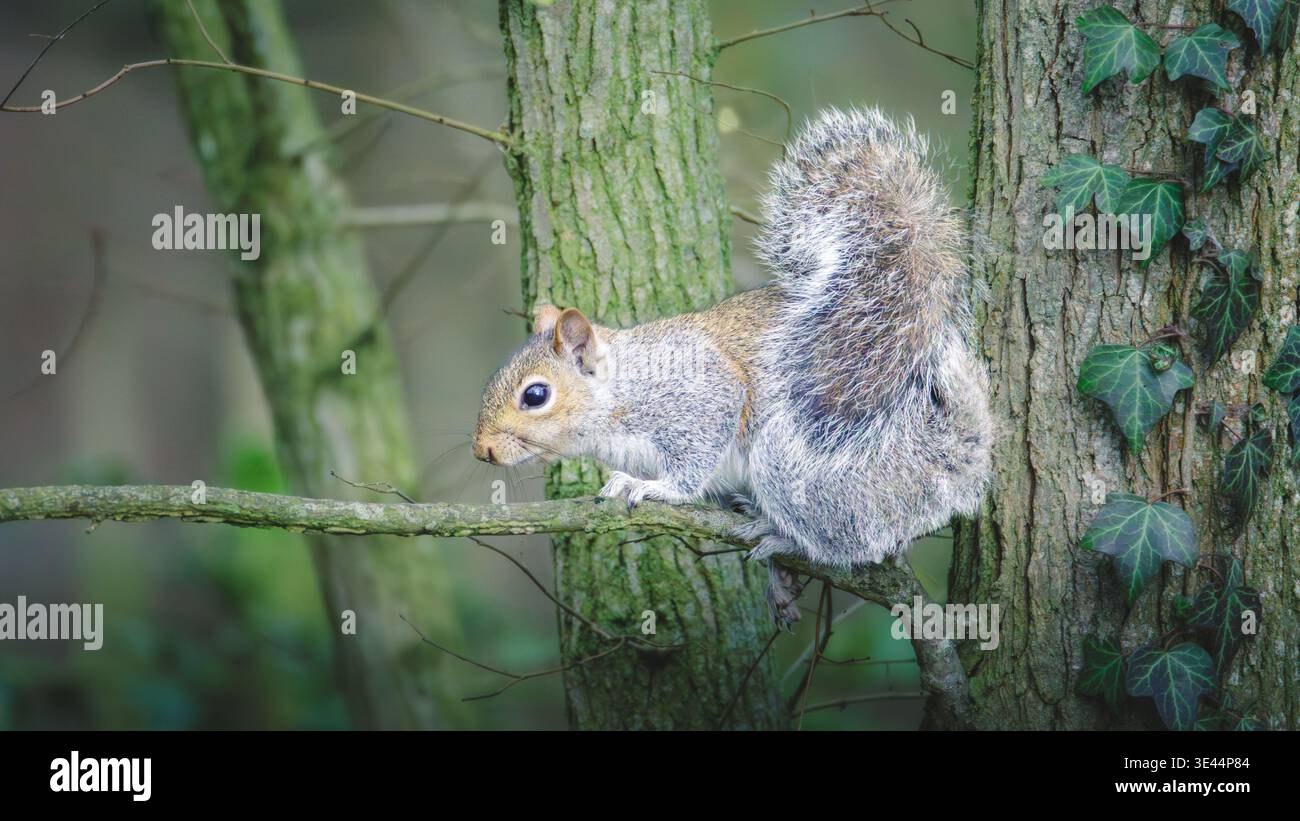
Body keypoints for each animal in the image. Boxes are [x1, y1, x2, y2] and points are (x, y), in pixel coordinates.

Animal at [473, 107, 993, 628]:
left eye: (535, 395)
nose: (482, 451)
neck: (622, 390)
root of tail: (948, 463)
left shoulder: (697, 392)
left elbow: (695, 455)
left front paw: (657, 488)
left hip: (799, 464)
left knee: (848, 543)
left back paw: (786, 538)